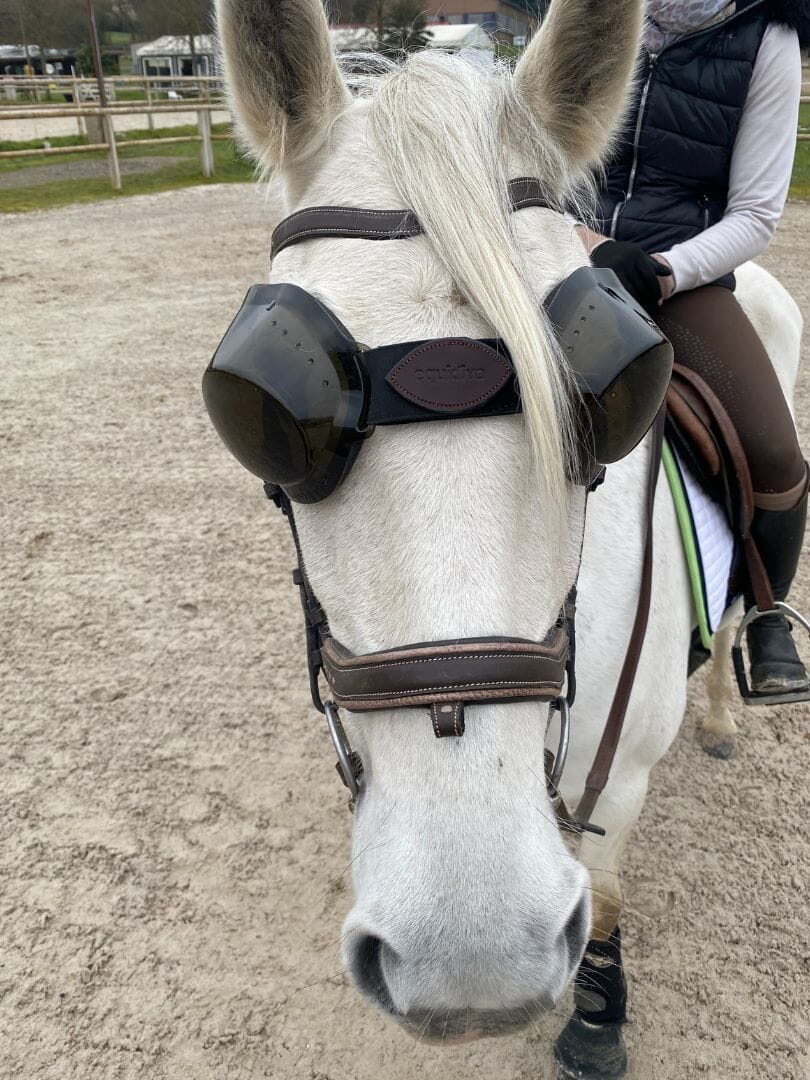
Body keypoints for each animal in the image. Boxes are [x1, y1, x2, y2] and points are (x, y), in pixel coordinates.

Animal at [211, 0, 802, 1073]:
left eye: (617, 382)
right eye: (255, 400)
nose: (470, 954)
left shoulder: (621, 778)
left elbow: (603, 890)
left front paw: (599, 1019)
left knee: (745, 604)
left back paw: (733, 706)